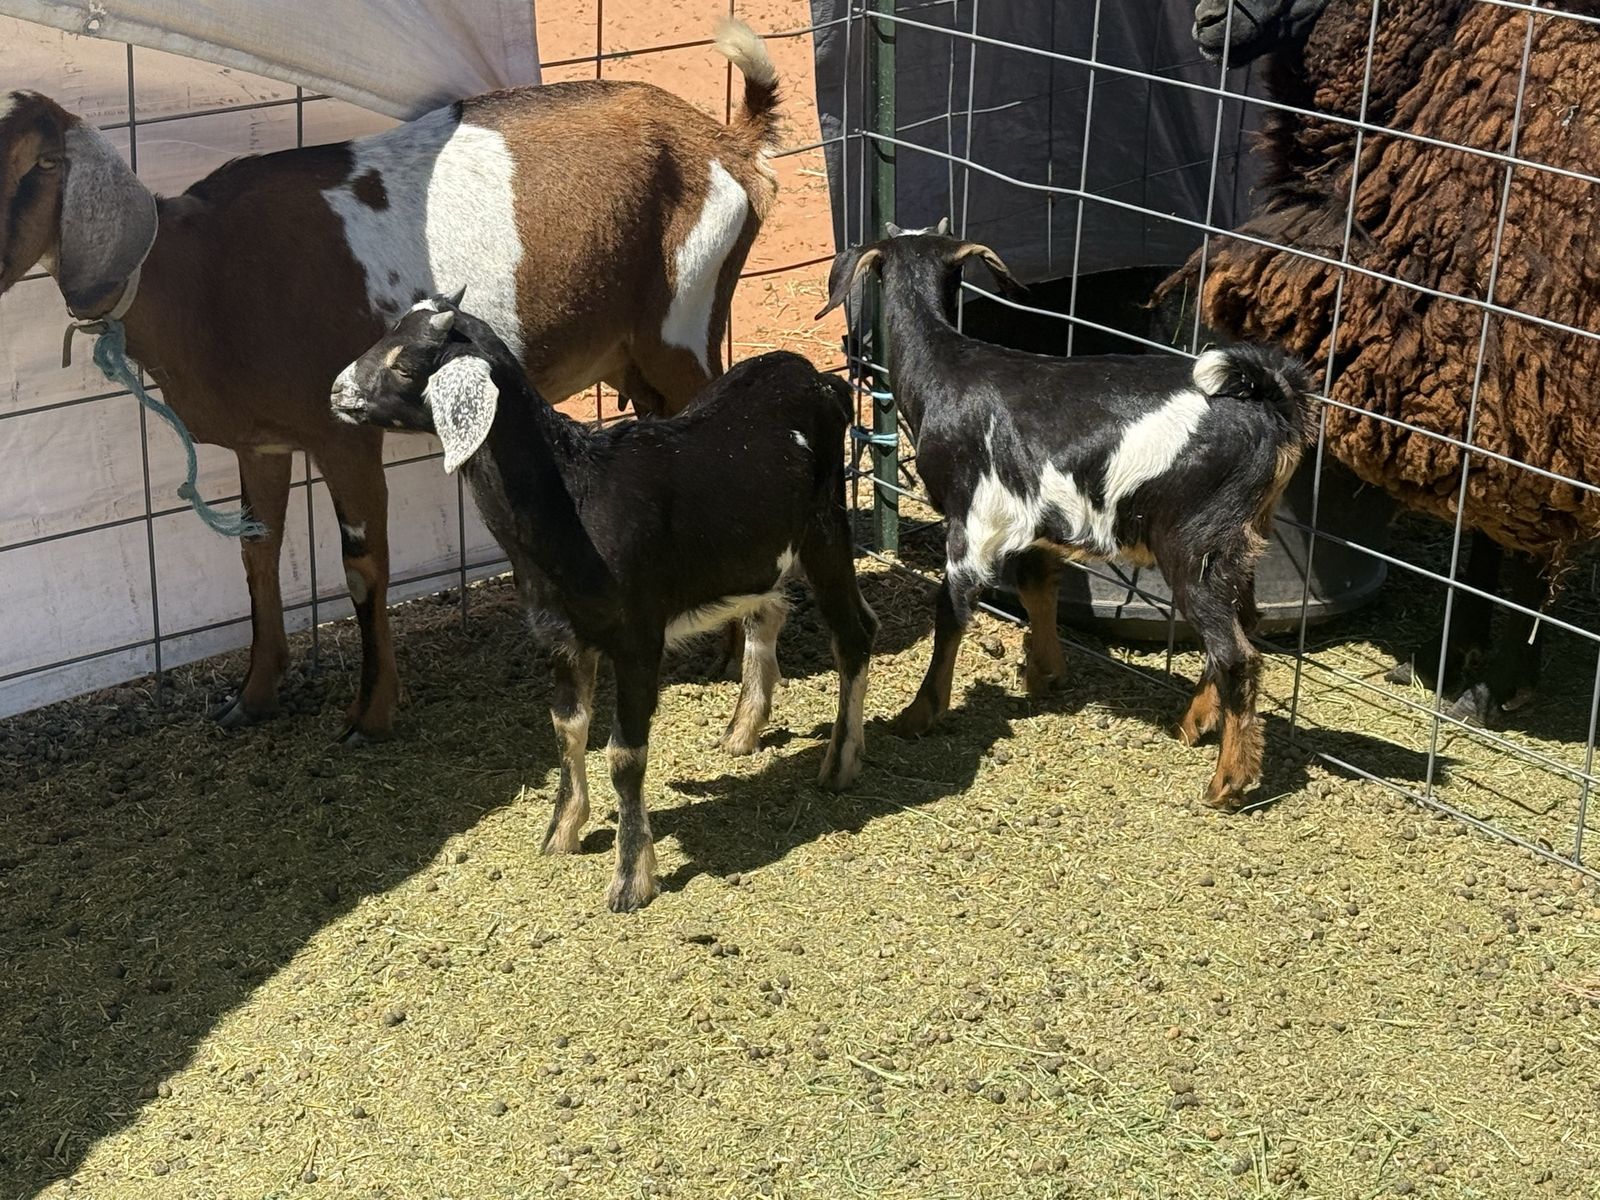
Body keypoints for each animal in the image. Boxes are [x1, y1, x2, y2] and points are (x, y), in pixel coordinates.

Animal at [0, 16, 779, 742]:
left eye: (38, 165)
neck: (202, 274)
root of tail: (727, 144)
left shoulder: (342, 432)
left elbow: (362, 566)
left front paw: (370, 713)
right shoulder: (262, 442)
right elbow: (257, 553)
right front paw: (252, 696)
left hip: (685, 323)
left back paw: (728, 653)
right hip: (640, 358)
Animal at [329, 297, 878, 910]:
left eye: (405, 366)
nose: (335, 391)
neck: (574, 497)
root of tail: (822, 380)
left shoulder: (637, 639)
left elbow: (624, 754)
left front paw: (631, 876)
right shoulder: (561, 636)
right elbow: (567, 728)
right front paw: (561, 831)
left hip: (825, 526)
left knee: (855, 632)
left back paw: (841, 760)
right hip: (757, 548)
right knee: (769, 611)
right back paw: (742, 732)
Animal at [817, 230, 1316, 810]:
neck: (946, 370)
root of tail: (1270, 402)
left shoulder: (972, 522)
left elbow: (952, 611)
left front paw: (918, 715)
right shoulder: (1032, 523)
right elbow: (1037, 589)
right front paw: (1046, 675)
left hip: (1194, 544)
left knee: (1235, 652)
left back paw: (1228, 781)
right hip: (1244, 538)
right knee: (1246, 624)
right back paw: (1194, 723)